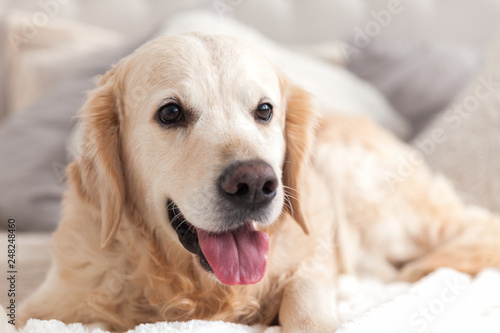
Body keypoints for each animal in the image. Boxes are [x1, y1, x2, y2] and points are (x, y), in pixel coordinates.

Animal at [20, 32, 500, 330]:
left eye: (264, 110)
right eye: (170, 112)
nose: (253, 184)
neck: (196, 289)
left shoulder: (311, 262)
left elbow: (305, 300)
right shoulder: (51, 303)